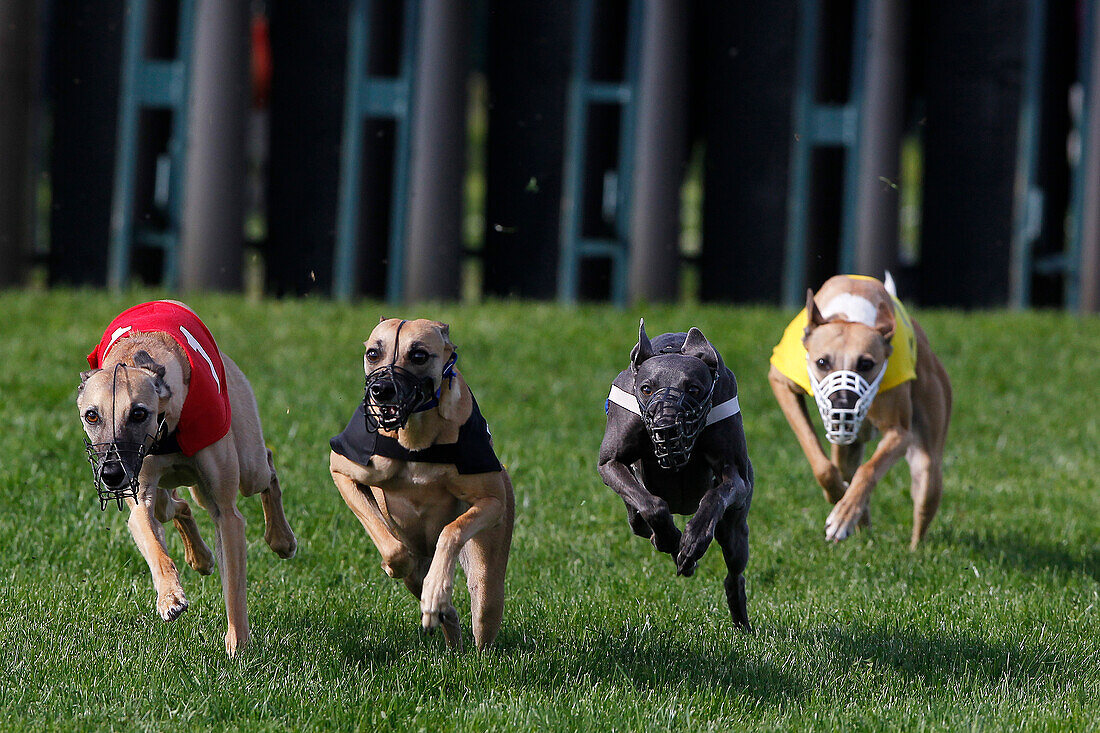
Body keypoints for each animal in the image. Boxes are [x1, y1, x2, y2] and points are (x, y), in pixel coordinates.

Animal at [77, 299, 297, 651]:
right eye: (92, 416)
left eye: (138, 413)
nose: (112, 474)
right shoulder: (140, 495)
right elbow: (152, 542)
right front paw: (170, 597)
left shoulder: (227, 514)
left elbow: (234, 584)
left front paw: (238, 644)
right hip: (171, 490)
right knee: (175, 507)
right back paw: (200, 556)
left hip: (249, 465)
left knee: (267, 467)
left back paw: (281, 538)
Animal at [598, 319, 752, 629]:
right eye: (646, 388)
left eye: (693, 389)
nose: (666, 427)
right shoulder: (610, 463)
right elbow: (651, 505)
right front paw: (670, 537)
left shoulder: (736, 478)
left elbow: (717, 495)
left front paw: (693, 540)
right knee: (637, 519)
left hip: (736, 530)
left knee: (734, 571)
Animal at [770, 270, 950, 545]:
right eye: (822, 362)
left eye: (866, 364)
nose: (842, 407)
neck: (851, 312)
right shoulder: (782, 383)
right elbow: (821, 462)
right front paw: (837, 498)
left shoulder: (900, 433)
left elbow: (869, 470)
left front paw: (843, 513)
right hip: (847, 448)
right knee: (846, 470)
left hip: (928, 466)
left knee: (923, 491)